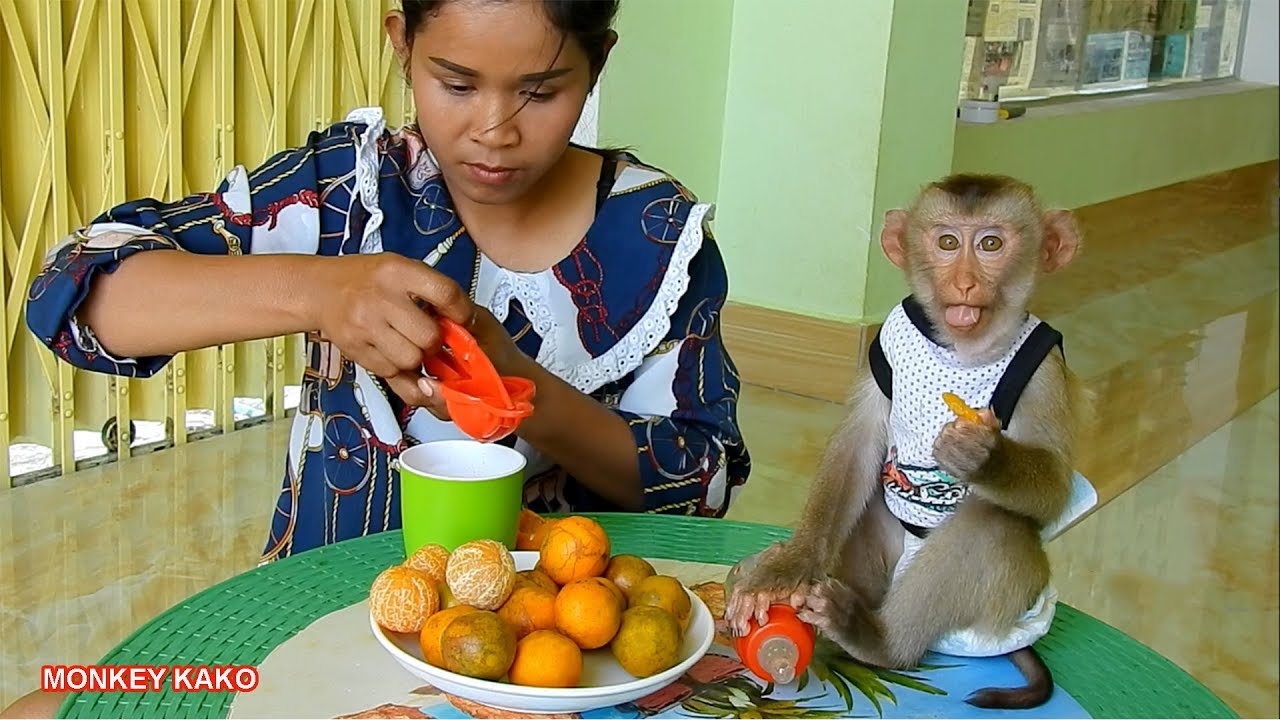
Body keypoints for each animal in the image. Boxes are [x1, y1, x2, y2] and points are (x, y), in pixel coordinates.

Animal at [726, 173, 1090, 710]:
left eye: (991, 244)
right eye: (947, 243)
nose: (964, 282)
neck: (963, 351)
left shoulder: (1045, 375)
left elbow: (1054, 492)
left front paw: (984, 456)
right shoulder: (884, 347)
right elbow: (858, 445)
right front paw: (790, 565)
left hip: (1009, 600)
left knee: (995, 525)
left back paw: (879, 641)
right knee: (866, 501)